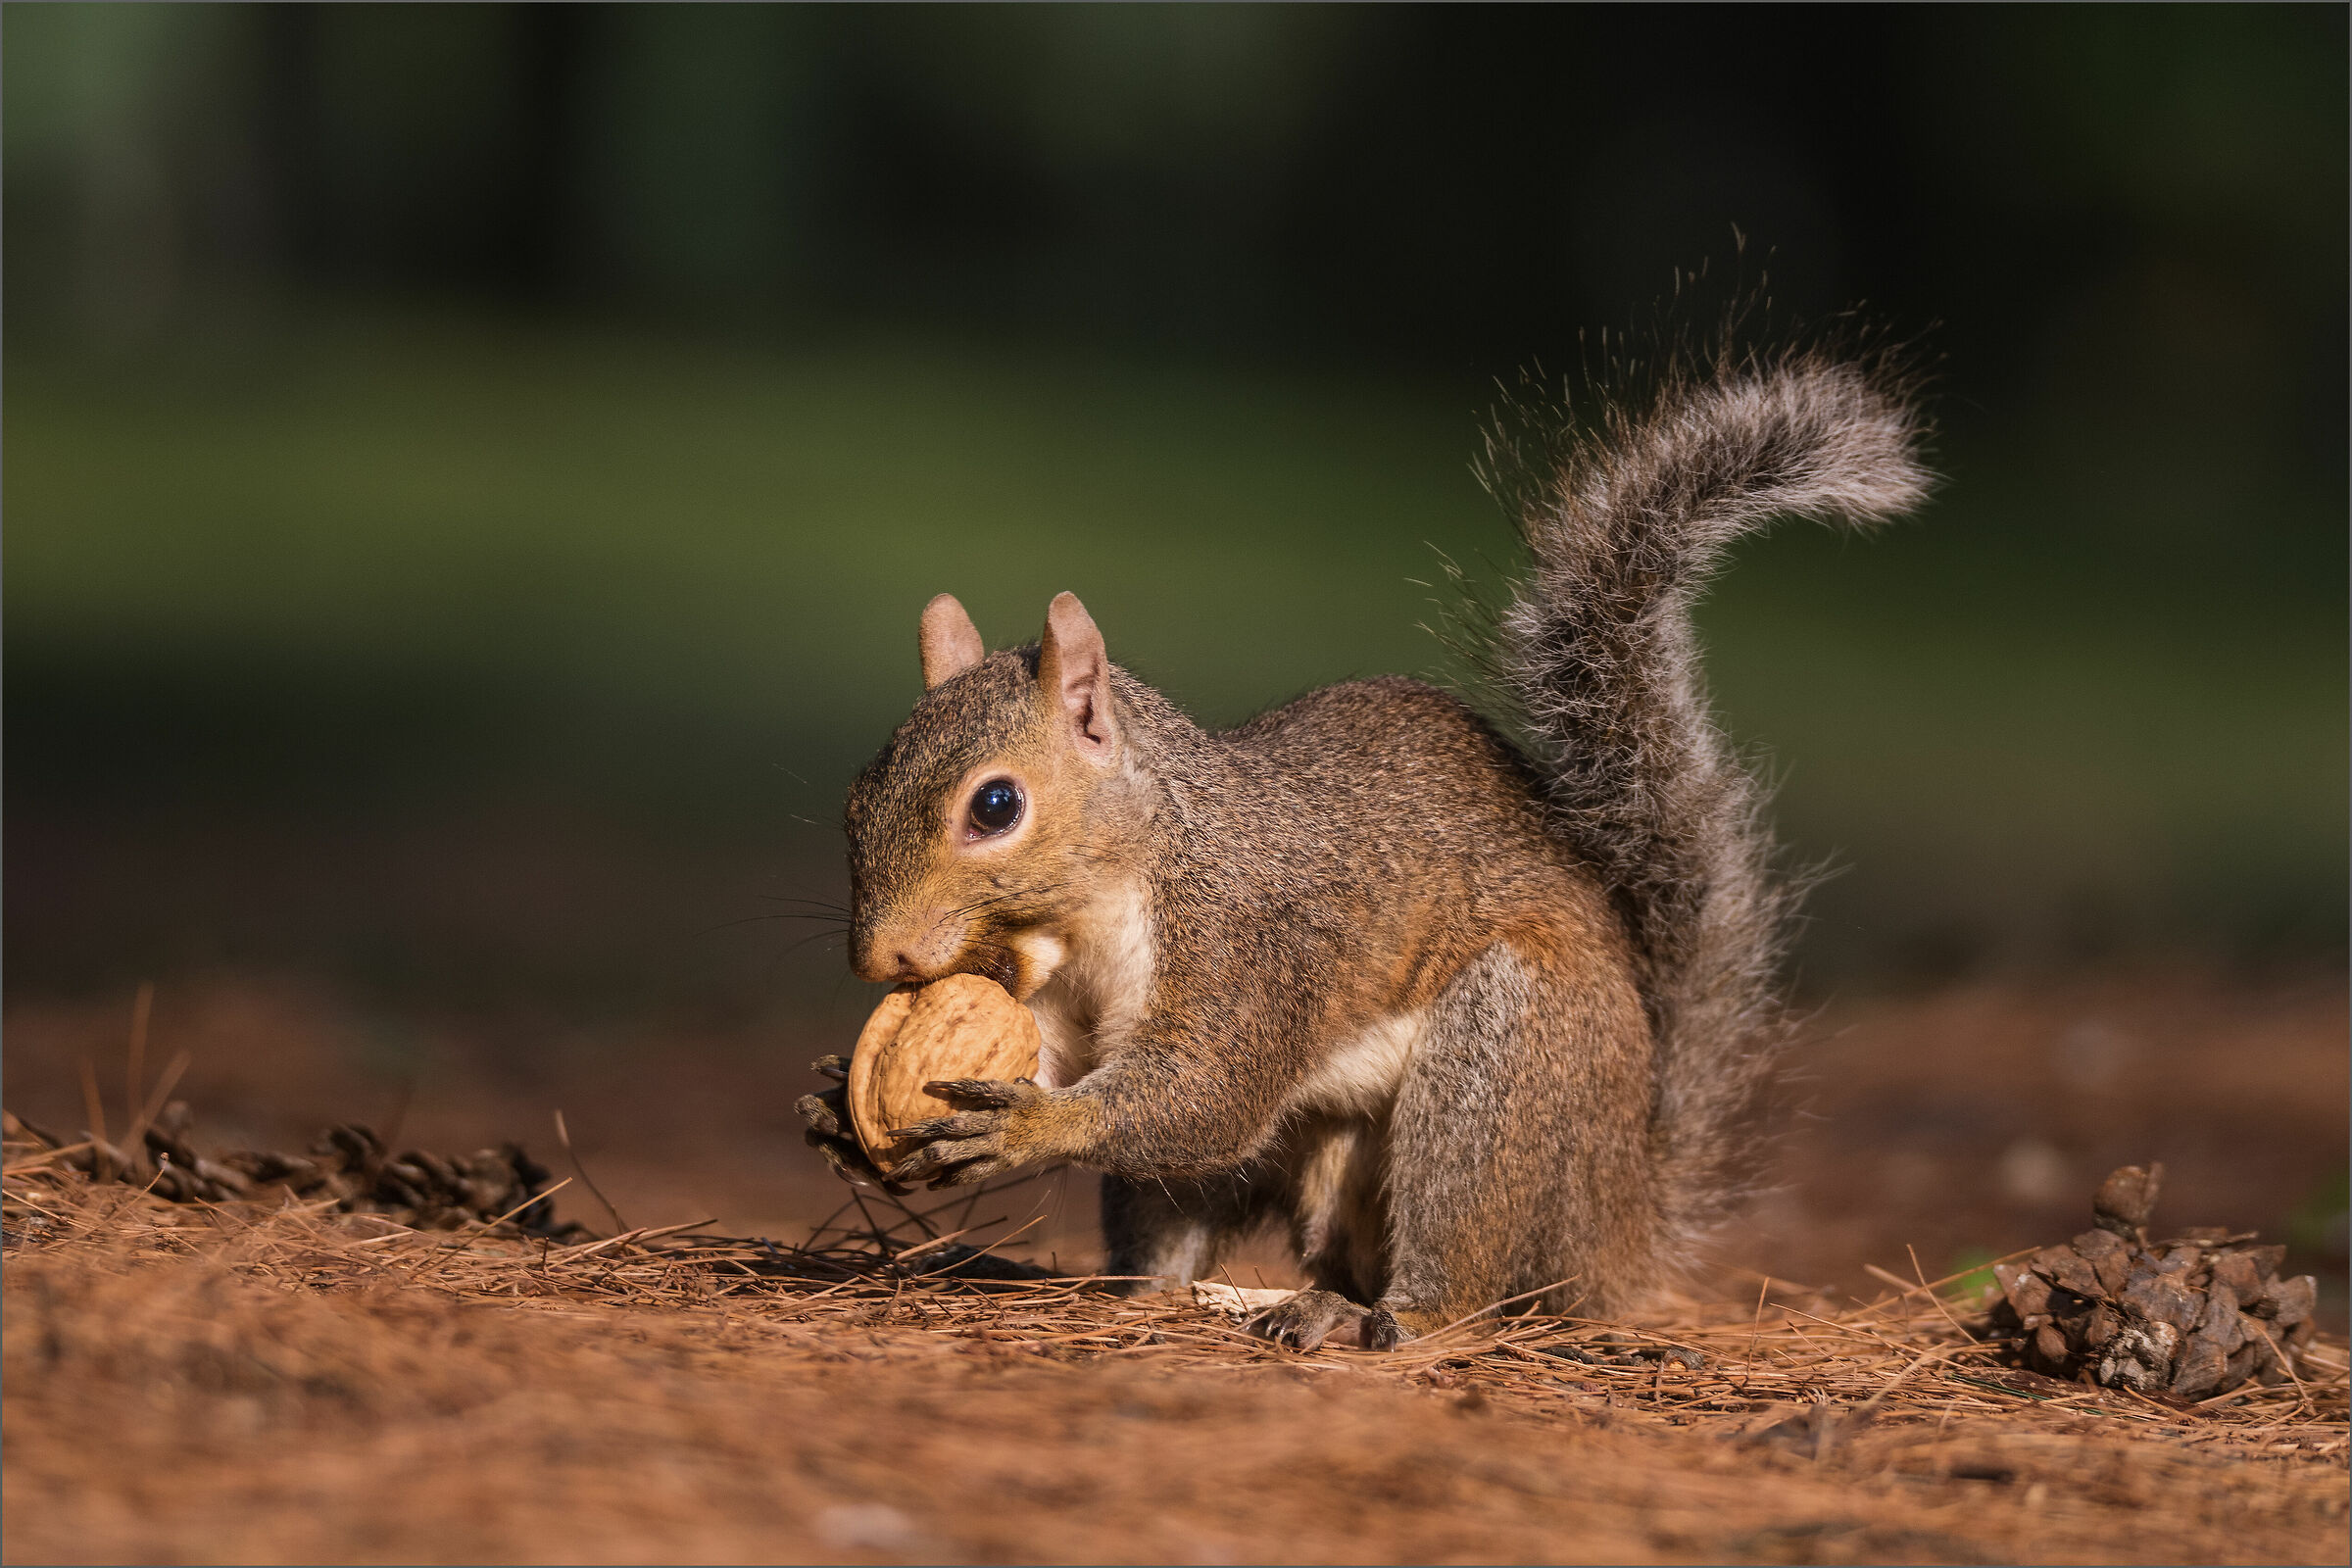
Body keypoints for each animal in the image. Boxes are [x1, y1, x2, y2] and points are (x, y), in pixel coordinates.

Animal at [798, 334, 1930, 1349]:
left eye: (995, 807)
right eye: (856, 791)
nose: (877, 957)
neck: (1105, 898)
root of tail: (1616, 1222)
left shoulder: (1249, 951)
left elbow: (1202, 1094)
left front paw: (1026, 1127)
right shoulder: (1062, 1009)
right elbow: (1082, 1068)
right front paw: (836, 1114)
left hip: (1507, 1064)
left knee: (1461, 1266)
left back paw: (1386, 1318)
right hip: (1312, 1159)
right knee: (1200, 1223)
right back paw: (1170, 1297)